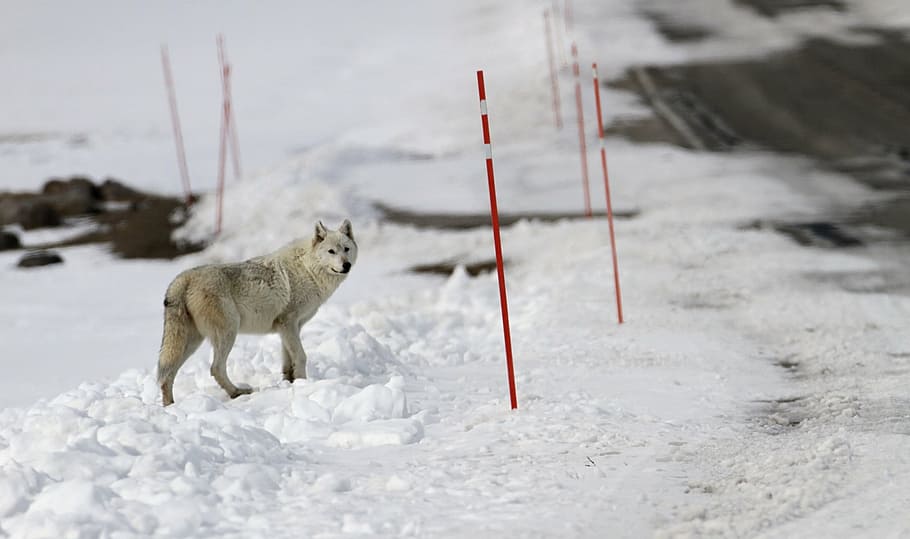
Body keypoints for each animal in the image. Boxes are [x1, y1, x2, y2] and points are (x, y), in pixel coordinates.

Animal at [156, 220, 357, 406]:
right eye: (331, 251)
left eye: (346, 249)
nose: (346, 265)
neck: (307, 269)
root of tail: (183, 278)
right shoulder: (288, 323)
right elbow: (300, 356)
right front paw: (302, 384)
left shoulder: (290, 328)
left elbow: (287, 362)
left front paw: (289, 384)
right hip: (228, 333)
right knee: (215, 368)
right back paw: (237, 392)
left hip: (191, 342)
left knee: (168, 374)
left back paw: (170, 406)